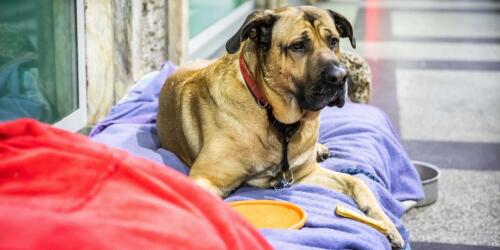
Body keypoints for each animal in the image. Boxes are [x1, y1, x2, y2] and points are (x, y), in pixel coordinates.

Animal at [158, 5, 404, 248]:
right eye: (298, 46)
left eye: (333, 41)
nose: (340, 76)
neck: (272, 114)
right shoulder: (205, 178)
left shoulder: (306, 174)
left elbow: (357, 182)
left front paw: (386, 223)